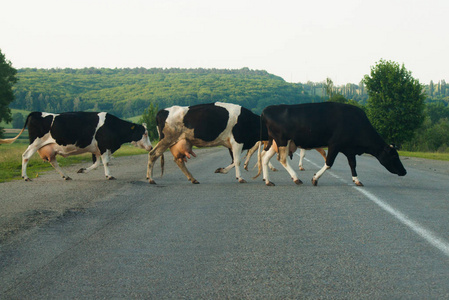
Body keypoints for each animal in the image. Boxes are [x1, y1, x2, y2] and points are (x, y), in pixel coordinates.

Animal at [0, 110, 152, 179]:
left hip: (49, 148)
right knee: (25, 156)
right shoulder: (104, 146)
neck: (112, 126)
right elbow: (106, 162)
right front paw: (109, 175)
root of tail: (37, 112)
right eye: (144, 133)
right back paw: (25, 176)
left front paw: (82, 170)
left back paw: (66, 176)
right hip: (35, 143)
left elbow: (97, 164)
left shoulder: (97, 149)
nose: (150, 147)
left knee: (53, 162)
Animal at [256, 104, 406, 186]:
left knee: (265, 157)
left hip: (275, 143)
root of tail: (266, 110)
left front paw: (357, 180)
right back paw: (296, 178)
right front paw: (315, 178)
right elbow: (329, 163)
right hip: (282, 141)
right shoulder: (335, 144)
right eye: (394, 157)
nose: (404, 171)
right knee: (281, 159)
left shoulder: (349, 149)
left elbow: (353, 164)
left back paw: (268, 181)